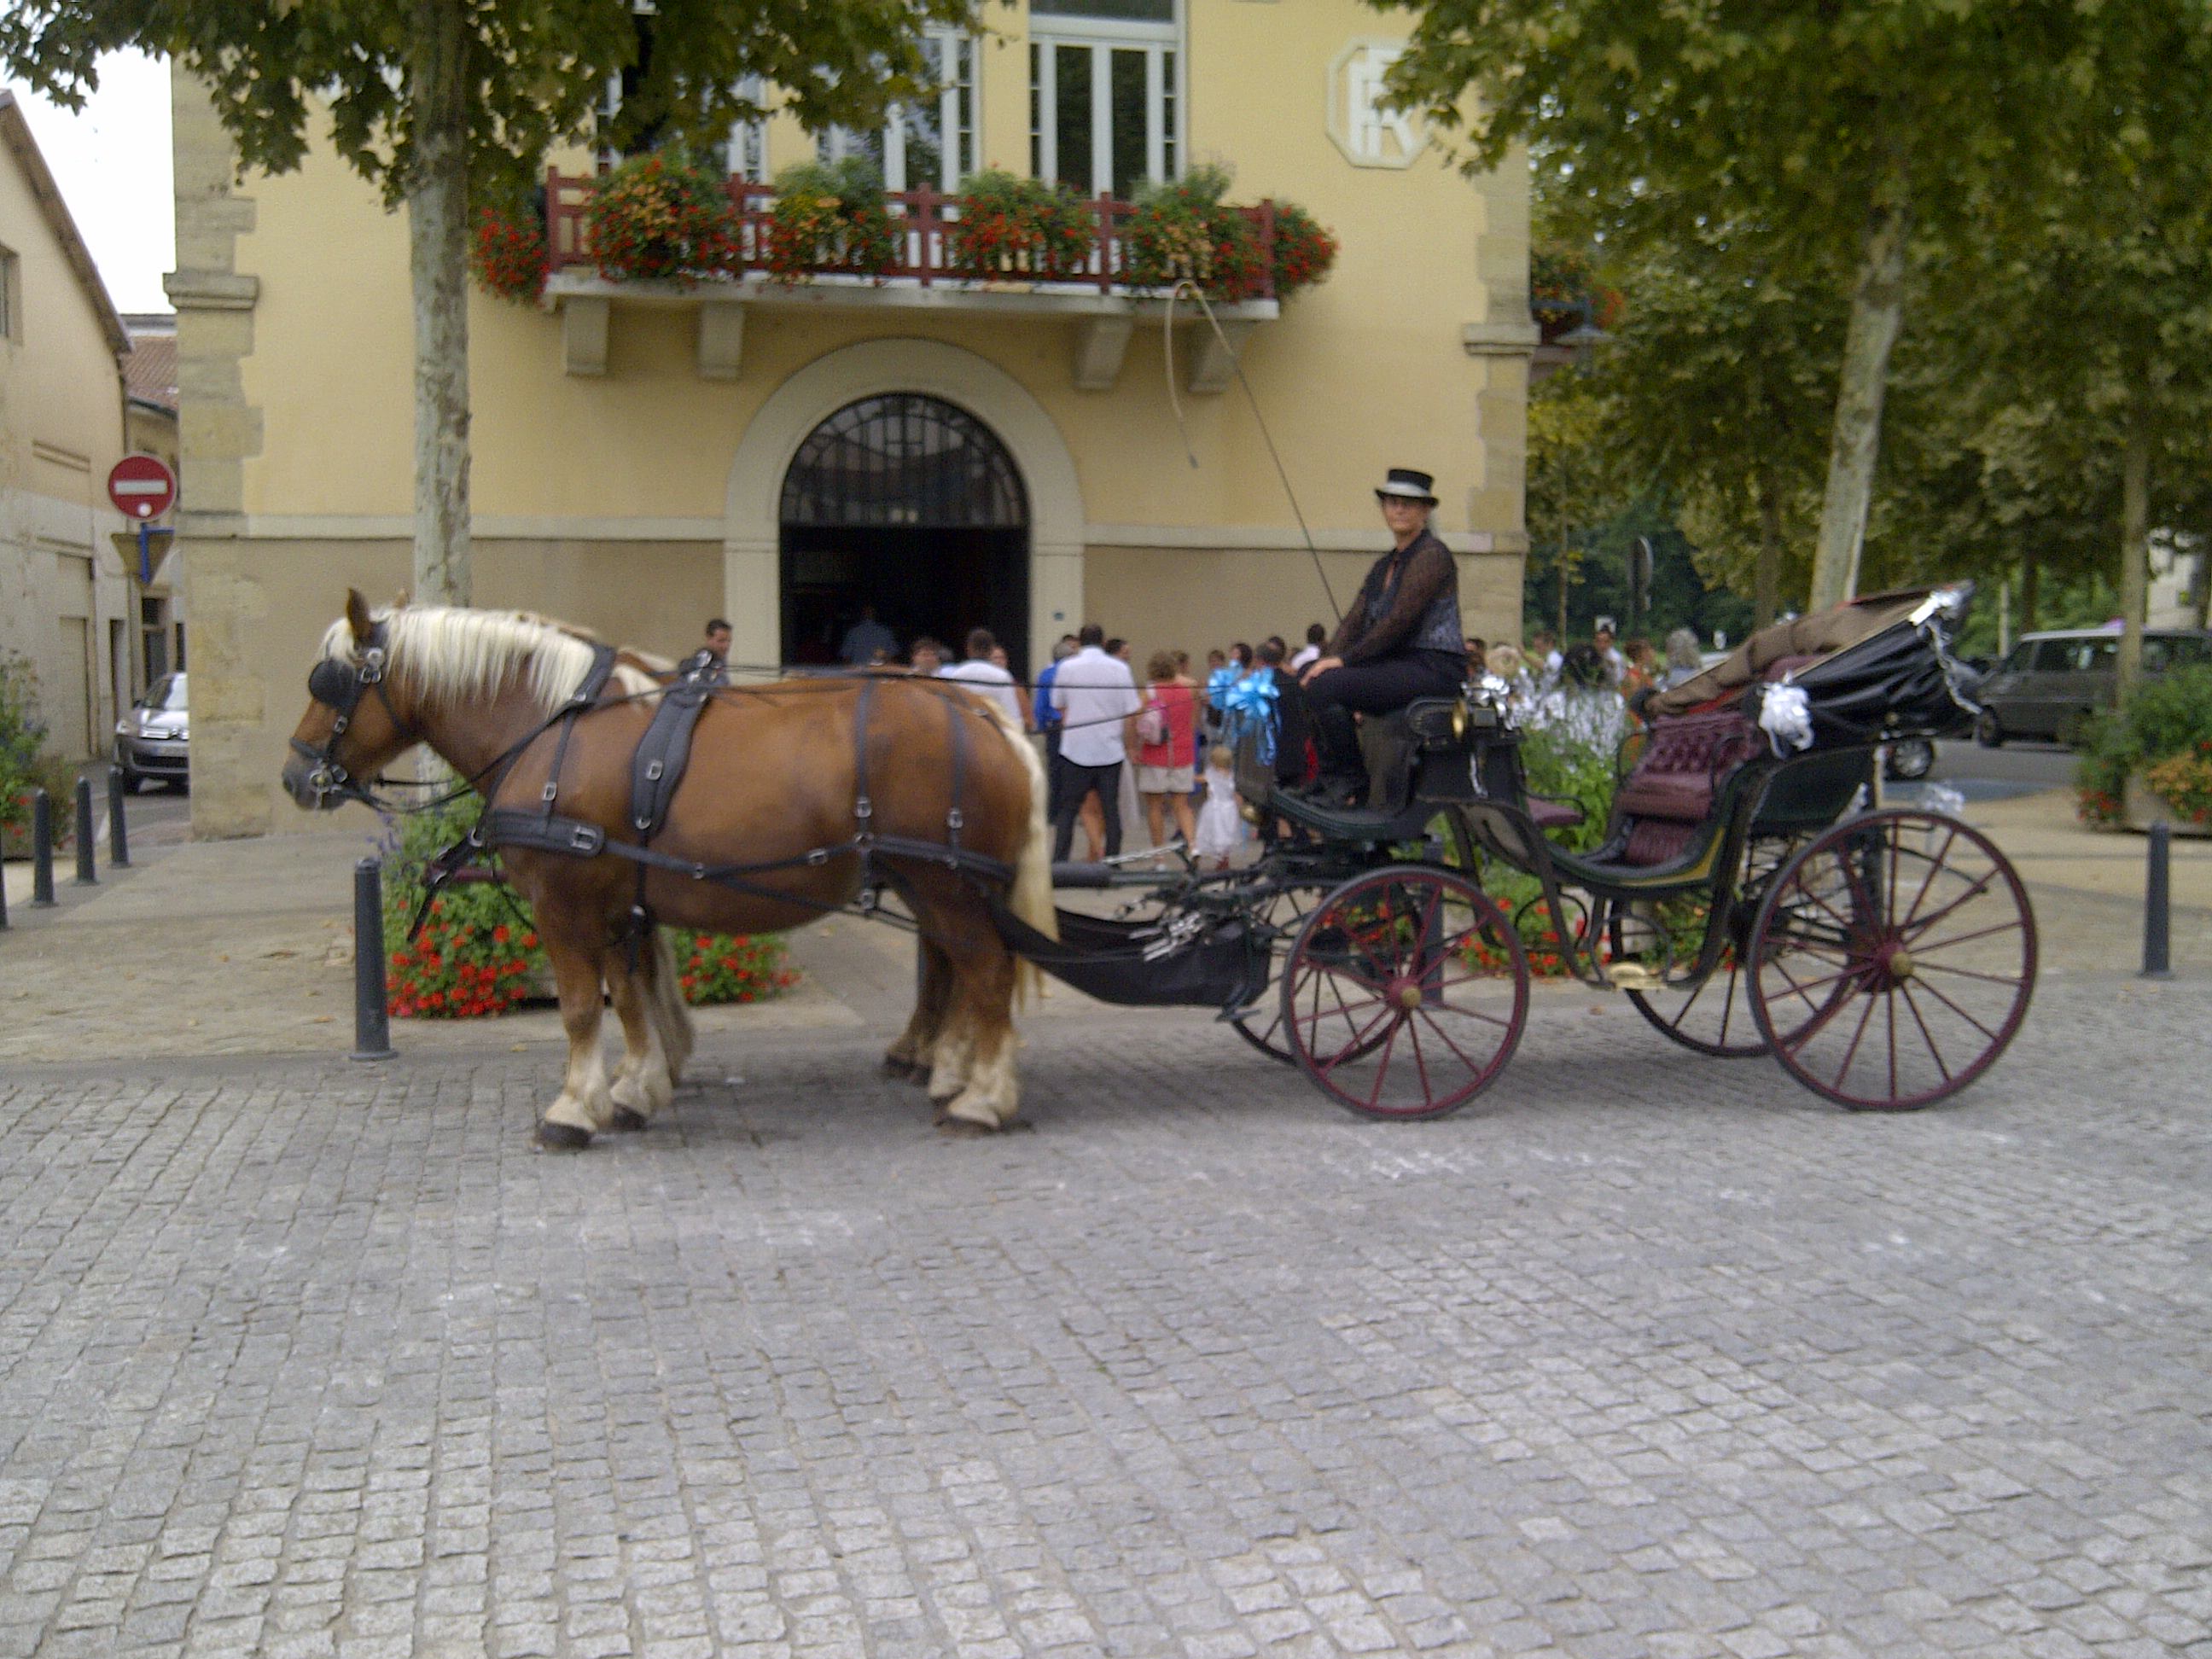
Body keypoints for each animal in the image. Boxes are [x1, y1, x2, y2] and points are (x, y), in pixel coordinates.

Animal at [281, 592, 1057, 1150]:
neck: (551, 725)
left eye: (332, 681)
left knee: (985, 973)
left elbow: (578, 1007)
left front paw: (574, 1108)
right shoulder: (617, 898)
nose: (296, 776)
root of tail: (987, 717)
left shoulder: (564, 901)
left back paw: (983, 1099)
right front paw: (635, 1088)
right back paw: (951, 1071)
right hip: (933, 884)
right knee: (956, 969)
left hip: (945, 883)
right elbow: (629, 997)